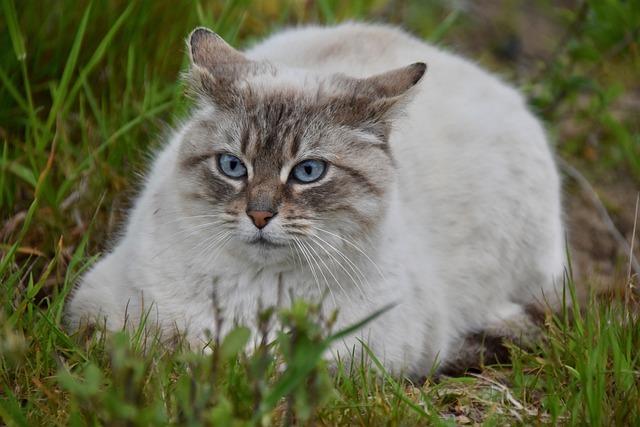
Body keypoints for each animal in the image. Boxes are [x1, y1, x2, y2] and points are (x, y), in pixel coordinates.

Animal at [63, 22, 564, 378]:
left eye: (308, 172)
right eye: (232, 166)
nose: (259, 215)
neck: (260, 294)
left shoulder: (370, 350)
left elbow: (283, 368)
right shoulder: (102, 312)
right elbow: (168, 349)